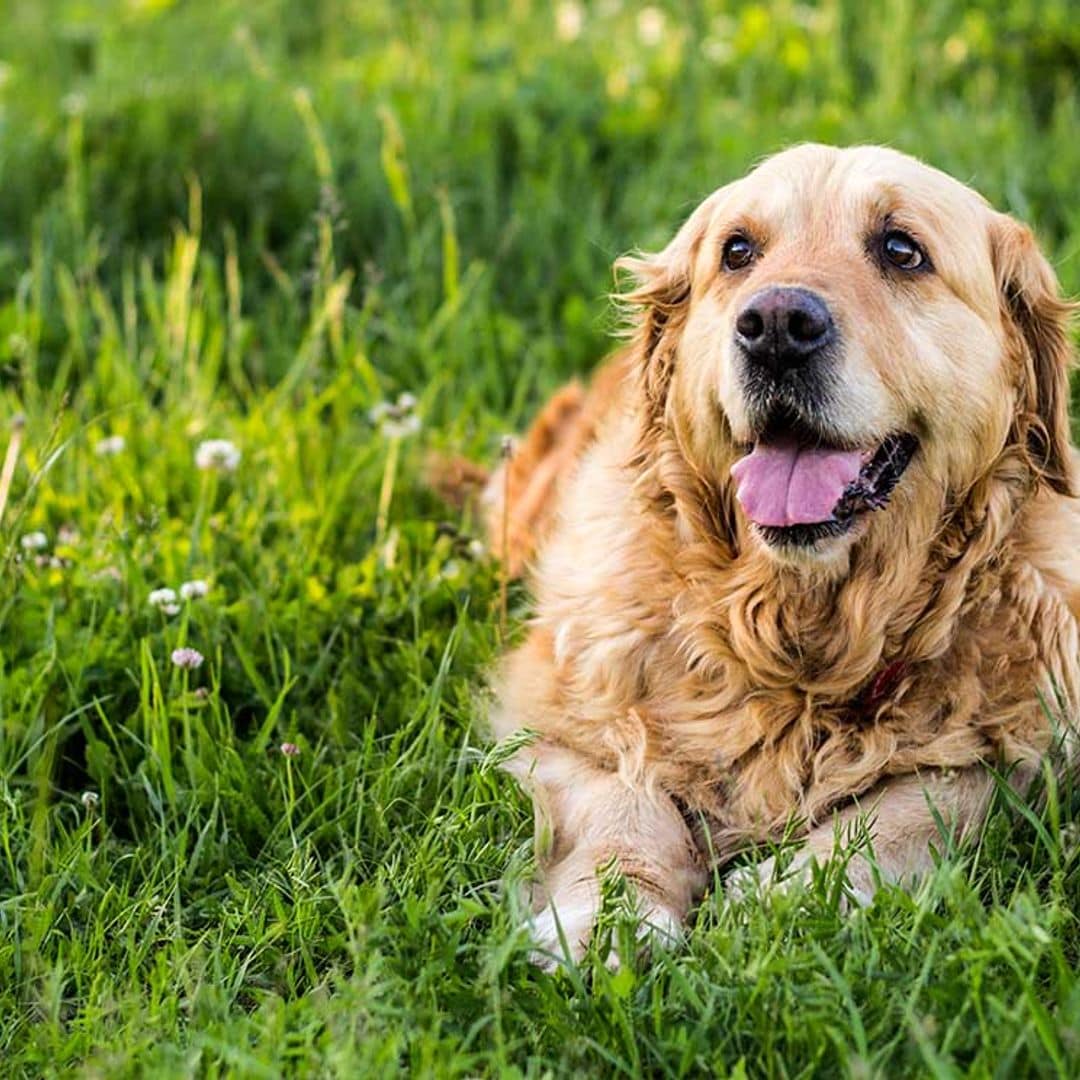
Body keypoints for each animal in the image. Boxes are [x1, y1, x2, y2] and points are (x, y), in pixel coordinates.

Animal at [473, 141, 1080, 963]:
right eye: (737, 251)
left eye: (902, 249)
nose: (777, 327)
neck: (803, 636)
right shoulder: (559, 718)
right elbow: (624, 797)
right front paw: (613, 913)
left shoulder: (1024, 749)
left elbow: (914, 803)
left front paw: (790, 898)